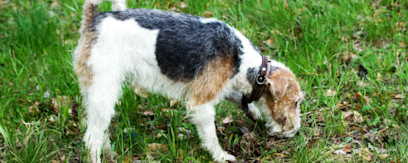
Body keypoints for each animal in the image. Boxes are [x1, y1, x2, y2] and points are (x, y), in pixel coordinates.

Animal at [74, 0, 302, 162]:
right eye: (296, 102)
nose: (297, 131)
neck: (242, 60)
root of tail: (93, 19)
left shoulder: (223, 85)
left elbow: (241, 99)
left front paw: (254, 114)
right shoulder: (201, 102)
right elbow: (210, 136)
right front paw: (221, 156)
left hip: (93, 90)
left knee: (99, 130)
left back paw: (110, 153)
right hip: (104, 88)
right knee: (91, 138)